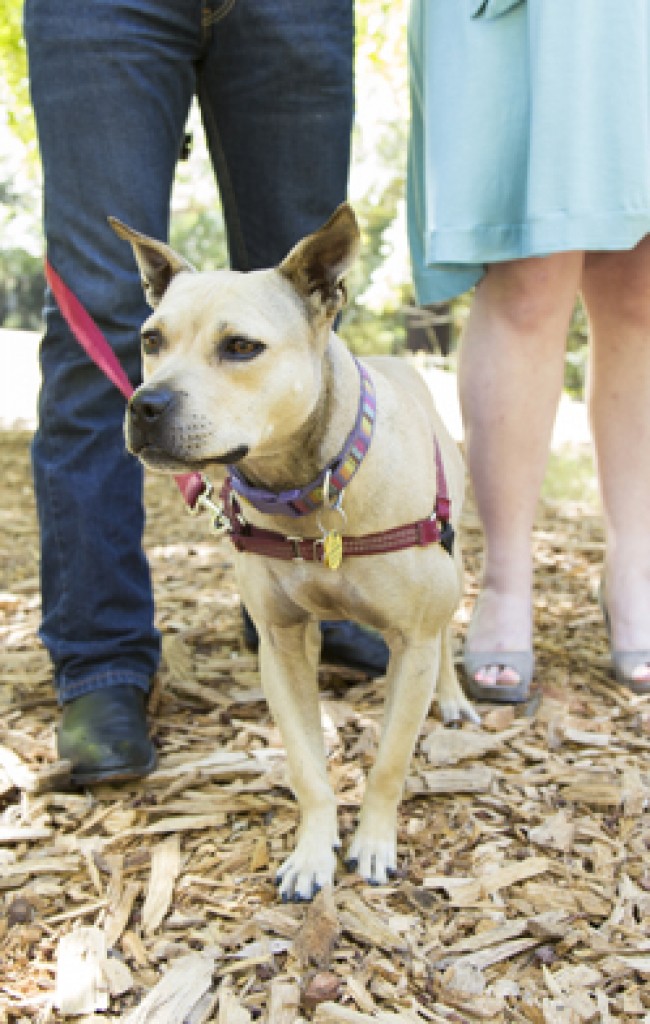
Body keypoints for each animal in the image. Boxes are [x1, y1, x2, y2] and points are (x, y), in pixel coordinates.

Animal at [112, 203, 479, 901]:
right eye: (151, 340)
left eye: (240, 347)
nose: (145, 404)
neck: (308, 486)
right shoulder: (280, 644)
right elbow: (307, 766)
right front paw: (313, 852)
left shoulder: (412, 640)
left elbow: (389, 761)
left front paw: (373, 844)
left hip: (456, 556)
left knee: (447, 634)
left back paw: (451, 698)